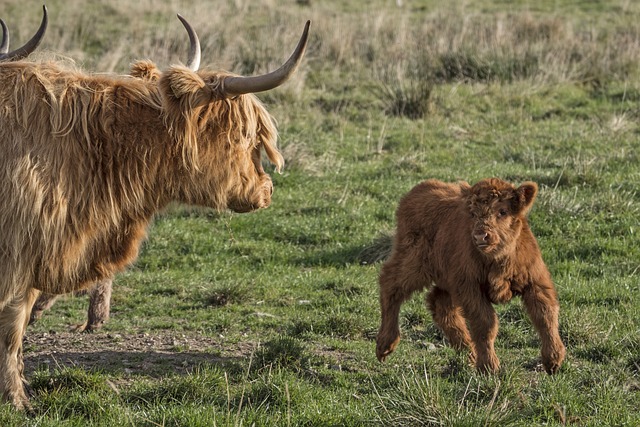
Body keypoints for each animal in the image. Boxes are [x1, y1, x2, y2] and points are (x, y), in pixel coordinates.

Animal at [378, 177, 568, 374]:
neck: (497, 260)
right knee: (390, 284)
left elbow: (545, 315)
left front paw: (553, 359)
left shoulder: (536, 282)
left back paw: (468, 354)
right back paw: (385, 344)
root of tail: (421, 187)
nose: (480, 236)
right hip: (413, 263)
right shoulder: (469, 288)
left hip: (445, 279)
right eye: (473, 214)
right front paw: (489, 366)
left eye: (502, 211)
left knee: (439, 303)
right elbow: (485, 323)